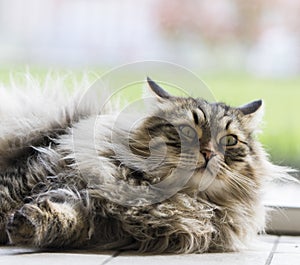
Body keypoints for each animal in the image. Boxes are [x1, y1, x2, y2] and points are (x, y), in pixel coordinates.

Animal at [0, 74, 294, 252]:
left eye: (229, 141)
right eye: (186, 132)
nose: (209, 152)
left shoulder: (104, 223)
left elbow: (67, 220)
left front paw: (27, 223)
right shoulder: (38, 170)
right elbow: (7, 196)